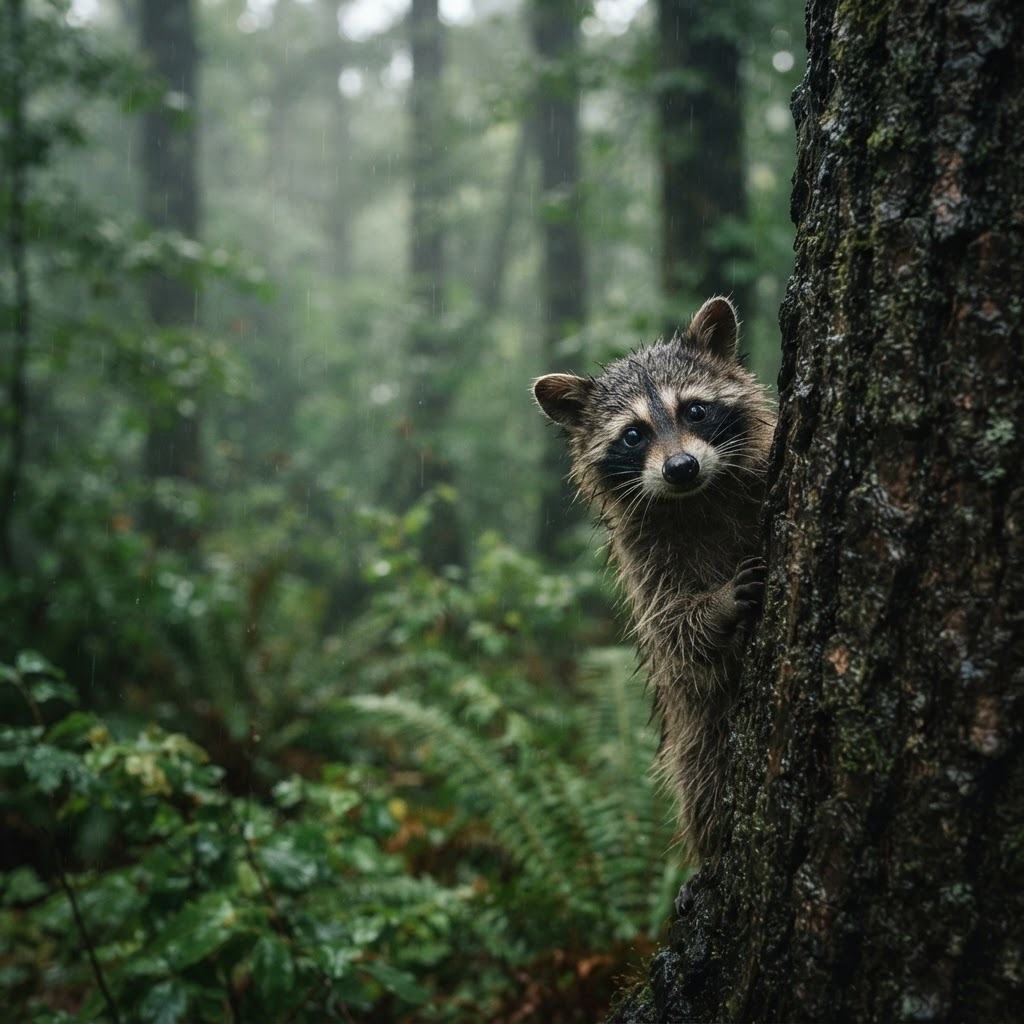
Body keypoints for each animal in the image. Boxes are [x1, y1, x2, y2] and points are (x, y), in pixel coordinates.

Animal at [532, 296, 775, 873]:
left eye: (695, 410)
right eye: (633, 434)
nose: (681, 467)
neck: (697, 499)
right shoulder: (644, 559)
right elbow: (673, 629)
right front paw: (716, 607)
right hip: (696, 728)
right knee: (702, 776)